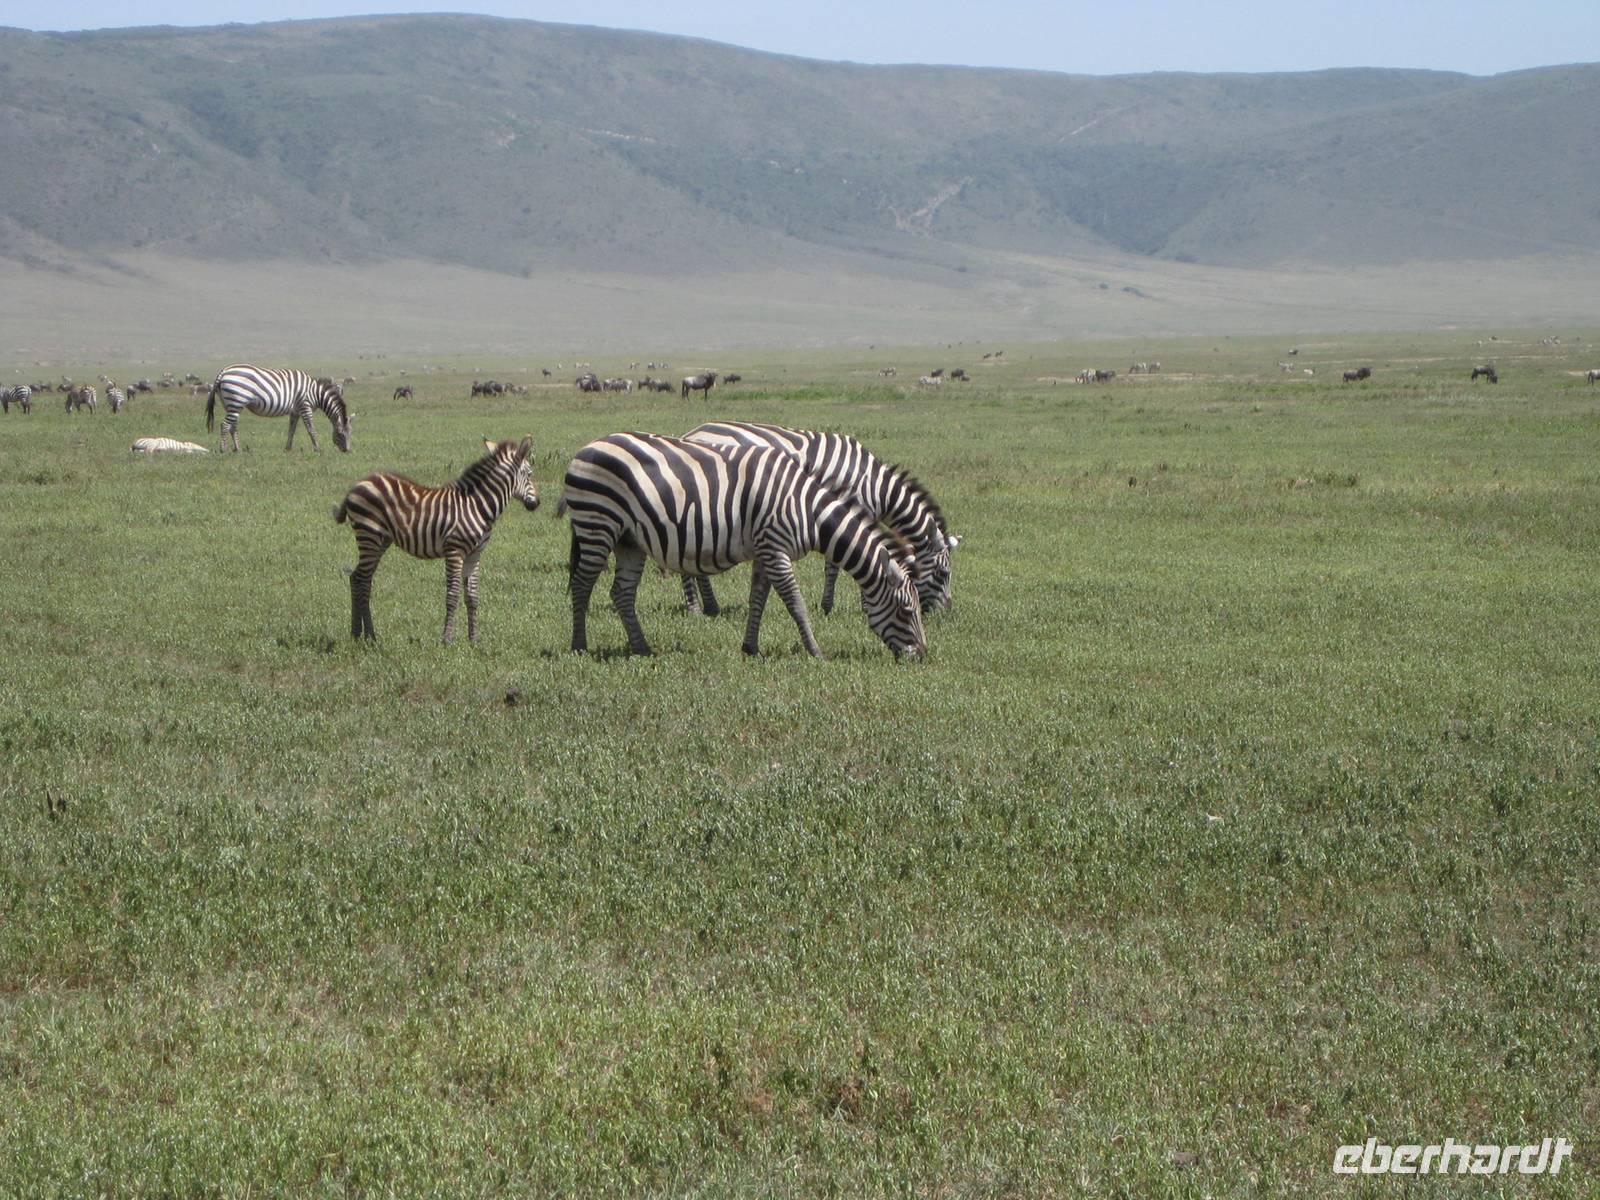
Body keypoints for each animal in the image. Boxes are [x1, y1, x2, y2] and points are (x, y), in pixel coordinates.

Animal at [207, 365, 351, 452]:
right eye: (341, 433)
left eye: (351, 433)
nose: (348, 451)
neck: (315, 393)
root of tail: (223, 372)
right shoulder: (305, 406)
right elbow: (311, 430)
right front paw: (317, 449)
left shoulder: (295, 411)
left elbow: (291, 430)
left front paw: (288, 449)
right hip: (236, 401)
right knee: (225, 425)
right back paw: (223, 449)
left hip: (231, 404)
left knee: (233, 426)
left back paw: (238, 449)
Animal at [334, 436, 539, 643]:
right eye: (529, 474)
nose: (537, 504)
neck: (477, 506)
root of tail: (358, 484)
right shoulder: (455, 550)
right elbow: (453, 595)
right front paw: (447, 639)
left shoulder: (474, 554)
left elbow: (472, 597)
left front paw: (474, 639)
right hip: (369, 535)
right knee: (362, 580)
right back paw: (370, 636)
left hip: (381, 540)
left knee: (358, 578)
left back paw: (357, 634)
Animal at [556, 432, 926, 659]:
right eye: (907, 611)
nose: (922, 656)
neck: (808, 510)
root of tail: (586, 447)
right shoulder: (775, 547)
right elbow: (795, 603)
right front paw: (816, 651)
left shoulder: (765, 550)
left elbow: (757, 599)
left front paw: (750, 647)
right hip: (597, 524)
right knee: (583, 585)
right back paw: (579, 646)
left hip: (628, 539)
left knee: (621, 592)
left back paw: (641, 648)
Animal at [680, 420, 958, 618]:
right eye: (943, 573)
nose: (944, 614)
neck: (873, 485)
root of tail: (692, 433)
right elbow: (837, 566)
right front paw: (842, 605)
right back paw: (696, 609)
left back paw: (710, 607)